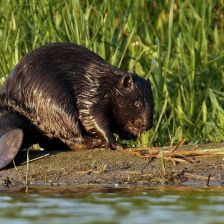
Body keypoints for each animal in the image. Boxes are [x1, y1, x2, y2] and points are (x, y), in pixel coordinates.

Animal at [0, 43, 153, 169]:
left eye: (152, 103)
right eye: (137, 103)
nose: (147, 125)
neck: (107, 81)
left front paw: (129, 134)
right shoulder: (93, 93)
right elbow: (93, 116)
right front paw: (115, 143)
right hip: (55, 102)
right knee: (73, 135)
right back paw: (97, 141)